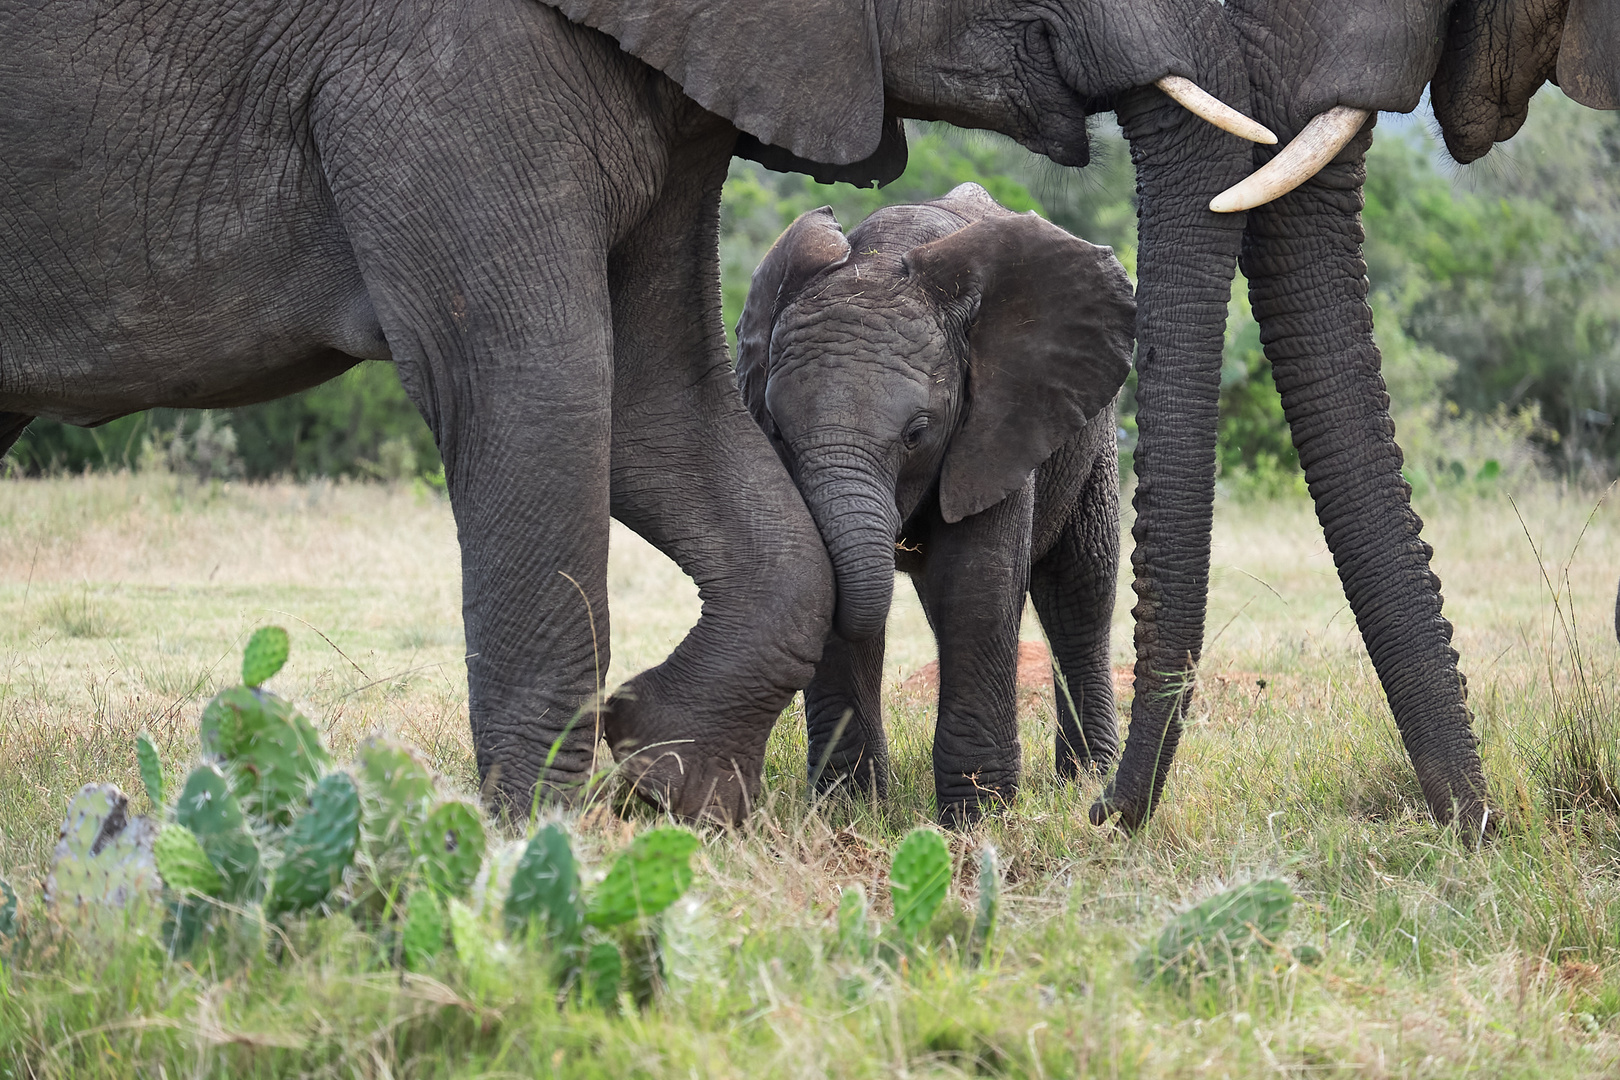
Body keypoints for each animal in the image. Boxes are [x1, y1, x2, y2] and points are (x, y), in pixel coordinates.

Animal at [741, 183, 1134, 819]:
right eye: (776, 429)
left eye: (917, 434)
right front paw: (850, 813)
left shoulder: (996, 424)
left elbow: (975, 587)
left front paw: (978, 817)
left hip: (1090, 436)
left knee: (1079, 589)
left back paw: (1087, 780)